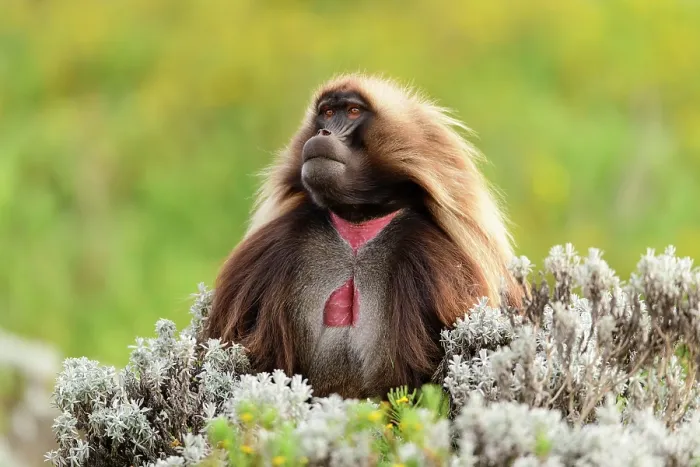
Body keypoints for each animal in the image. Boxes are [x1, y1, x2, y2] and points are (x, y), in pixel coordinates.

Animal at [204, 74, 522, 400]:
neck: (357, 228)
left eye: (353, 112)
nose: (323, 131)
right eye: (327, 112)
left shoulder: (440, 264)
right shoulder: (270, 251)